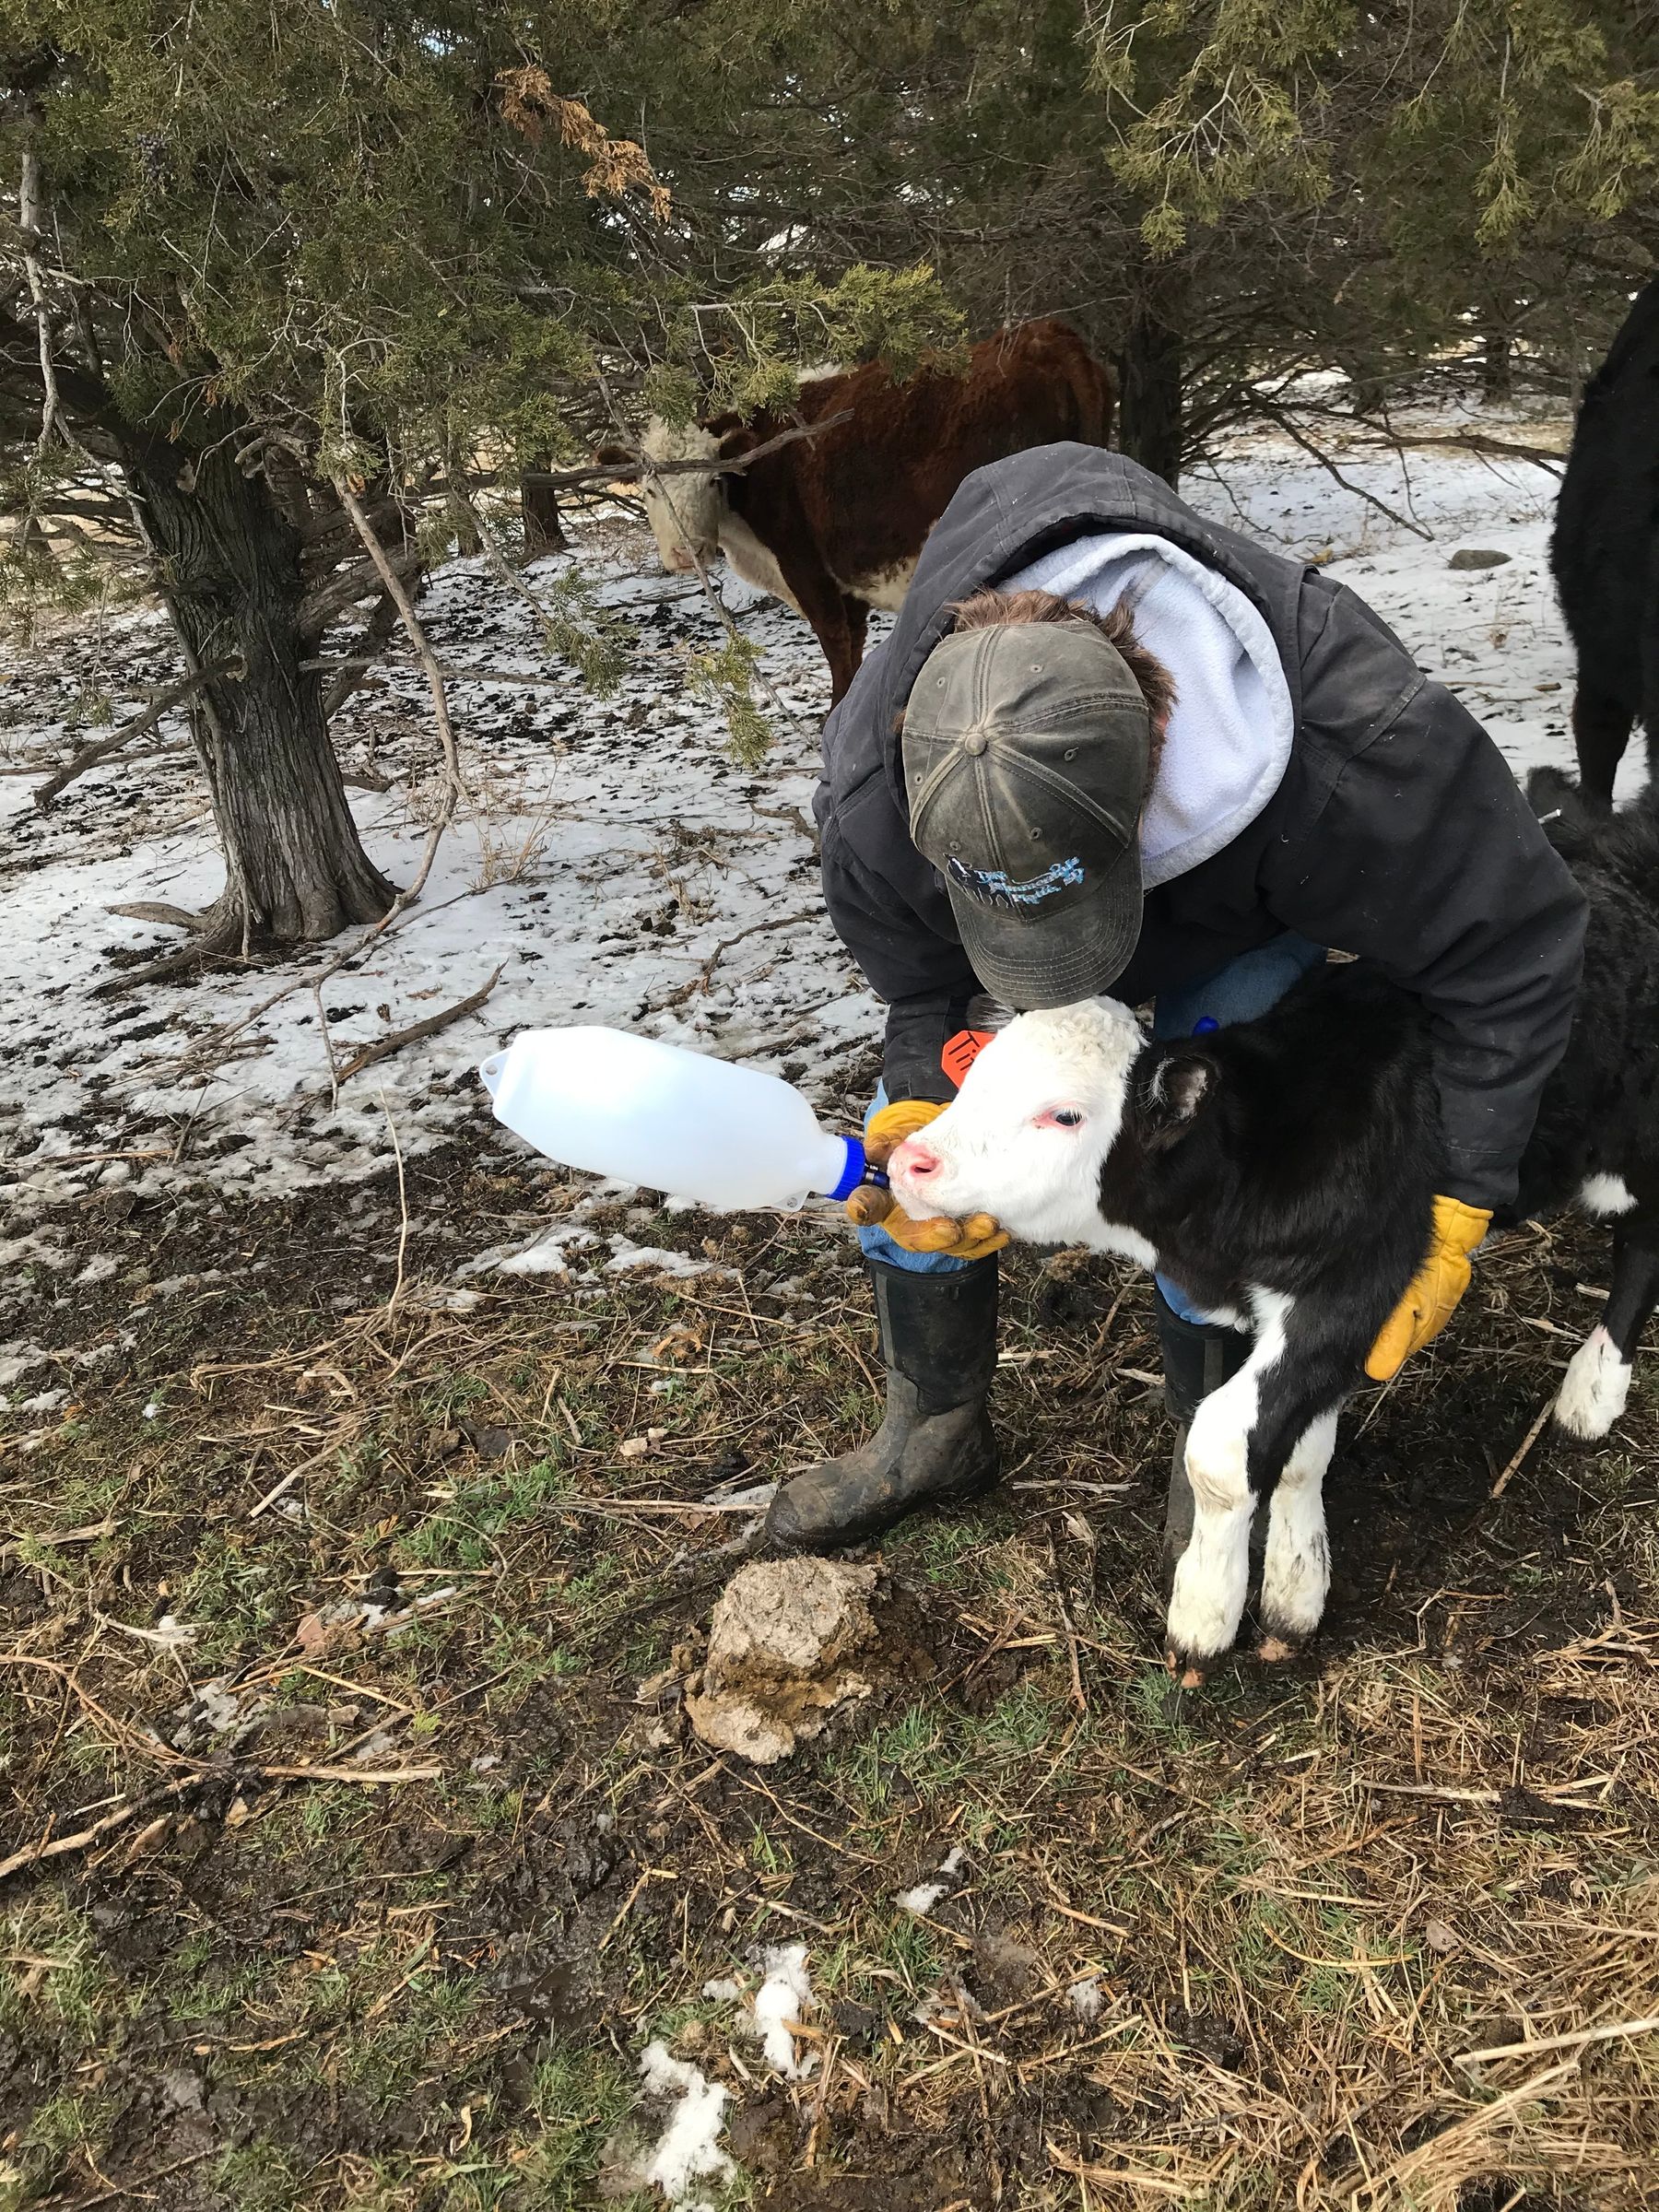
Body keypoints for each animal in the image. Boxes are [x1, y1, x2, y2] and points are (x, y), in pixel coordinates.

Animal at [608, 320, 1113, 705]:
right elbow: (852, 644)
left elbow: (837, 647)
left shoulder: (809, 572)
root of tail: (1043, 337)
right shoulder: (847, 584)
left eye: (712, 481)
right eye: (649, 489)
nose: (686, 552)